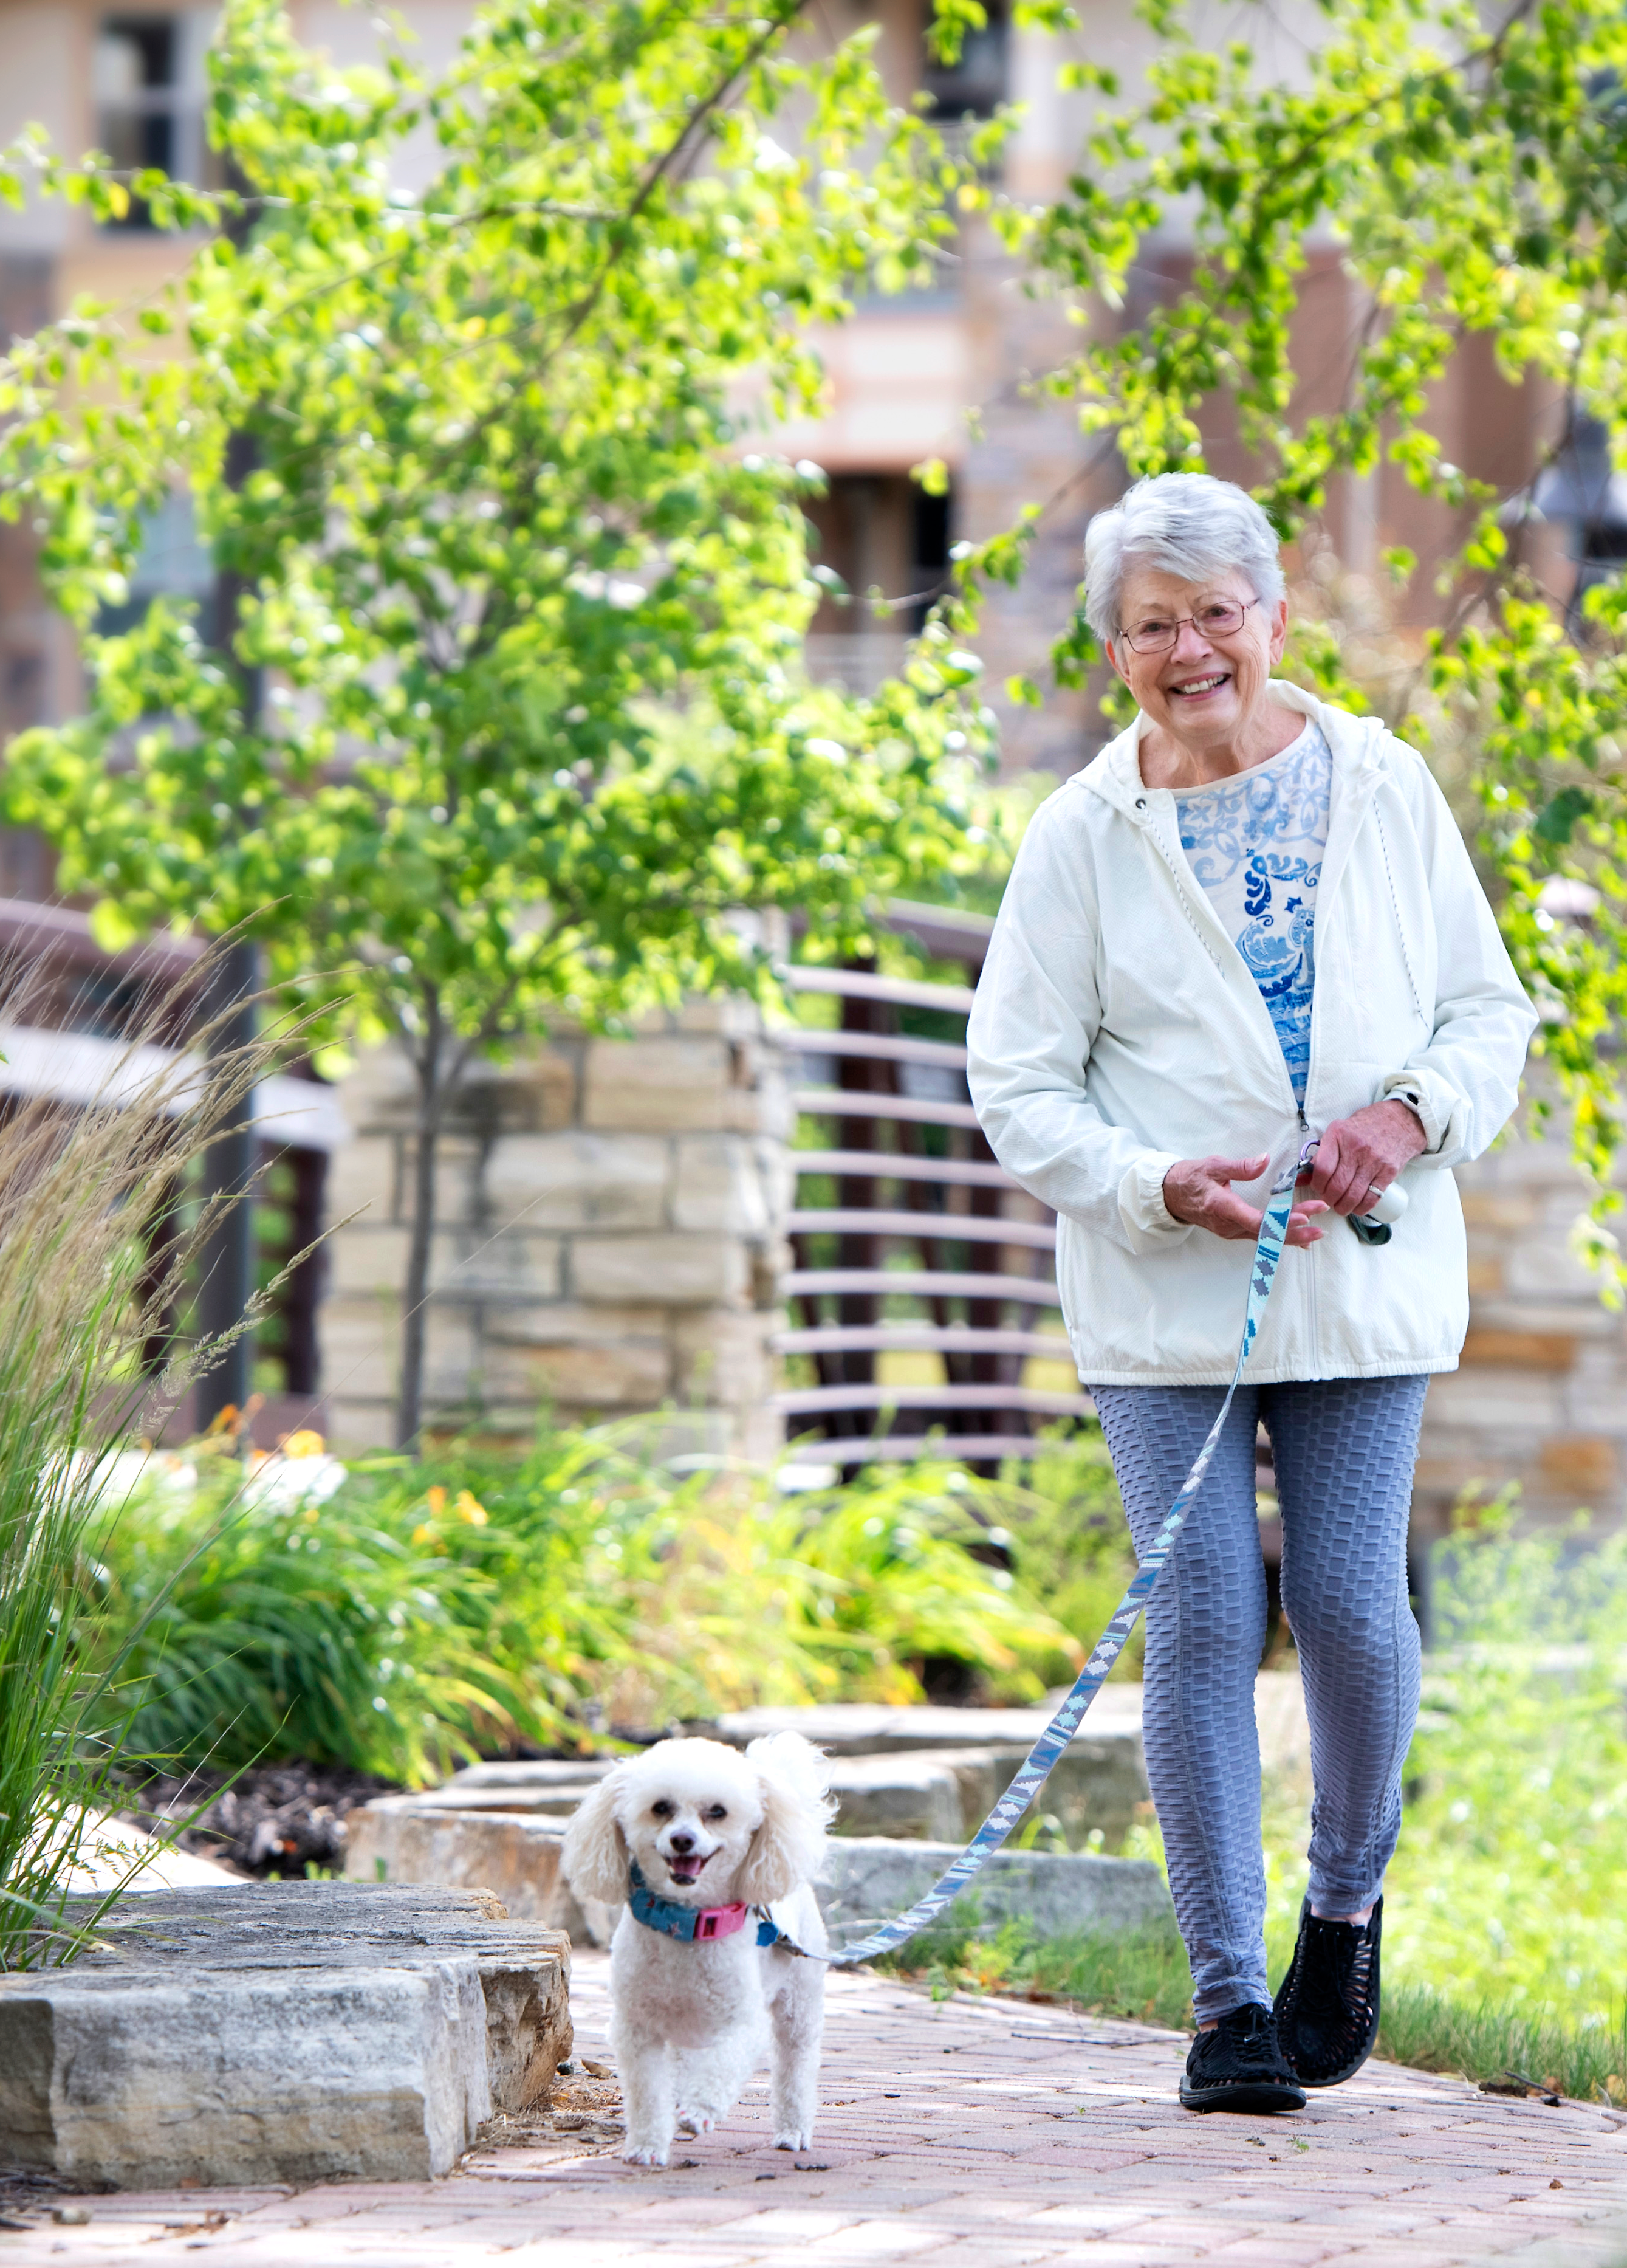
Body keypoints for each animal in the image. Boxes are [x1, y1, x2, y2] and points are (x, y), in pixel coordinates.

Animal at [564, 1733, 843, 2159]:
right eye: (660, 1808)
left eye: (718, 1812)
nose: (683, 1840)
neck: (685, 1924)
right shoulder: (637, 2028)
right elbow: (647, 2091)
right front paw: (647, 2145)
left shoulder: (742, 2022)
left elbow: (723, 2065)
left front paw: (698, 2111)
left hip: (800, 2001)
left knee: (795, 2065)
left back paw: (793, 2131)